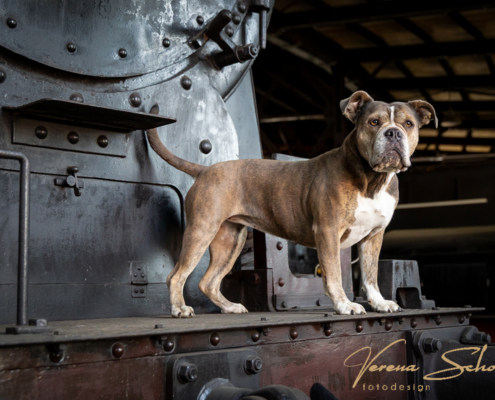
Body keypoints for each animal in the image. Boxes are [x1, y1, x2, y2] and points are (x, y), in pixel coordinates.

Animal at [146, 90, 437, 318]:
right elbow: (334, 273)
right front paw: (345, 305)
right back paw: (179, 309)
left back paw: (229, 307)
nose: (393, 133)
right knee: (177, 275)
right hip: (201, 230)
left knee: (208, 282)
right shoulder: (328, 231)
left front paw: (379, 302)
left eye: (408, 124)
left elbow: (370, 274)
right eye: (374, 122)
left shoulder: (373, 236)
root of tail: (204, 170)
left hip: (230, 240)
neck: (372, 179)